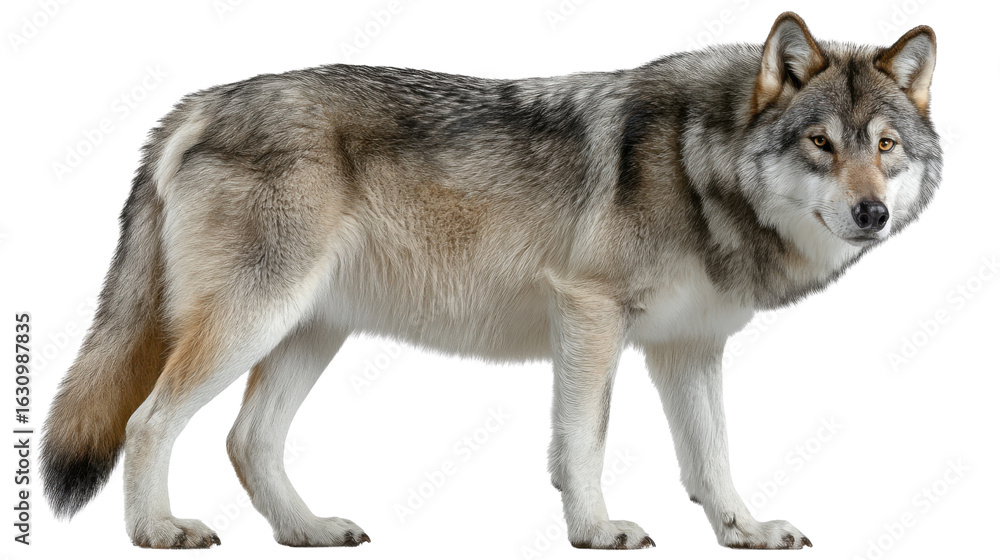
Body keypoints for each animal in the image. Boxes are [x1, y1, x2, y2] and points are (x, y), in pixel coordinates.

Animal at [40, 12, 940, 550]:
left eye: (886, 146)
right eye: (821, 142)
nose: (869, 213)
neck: (699, 162)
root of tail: (195, 102)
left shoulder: (688, 349)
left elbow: (711, 459)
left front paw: (742, 531)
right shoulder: (589, 315)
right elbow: (583, 442)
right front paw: (596, 530)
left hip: (307, 331)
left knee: (247, 438)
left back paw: (308, 530)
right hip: (252, 321)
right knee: (149, 421)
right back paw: (159, 531)